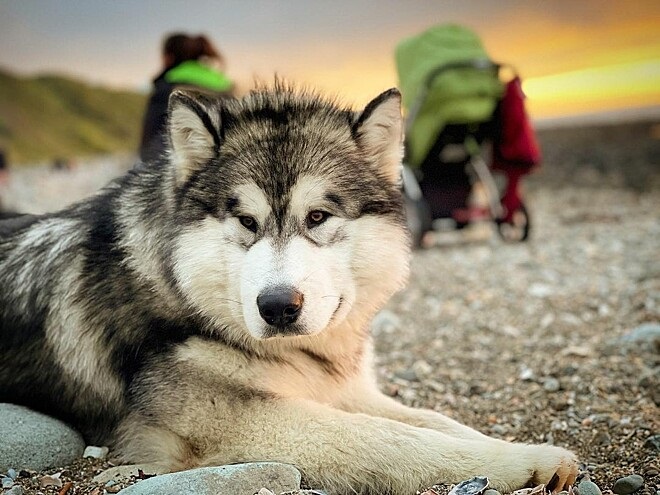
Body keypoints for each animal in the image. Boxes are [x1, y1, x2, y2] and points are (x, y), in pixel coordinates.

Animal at [0, 86, 576, 495]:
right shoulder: (247, 422)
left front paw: (518, 447)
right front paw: (523, 461)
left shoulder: (342, 389)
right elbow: (392, 439)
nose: (278, 307)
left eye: (317, 217)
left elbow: (439, 422)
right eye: (246, 221)